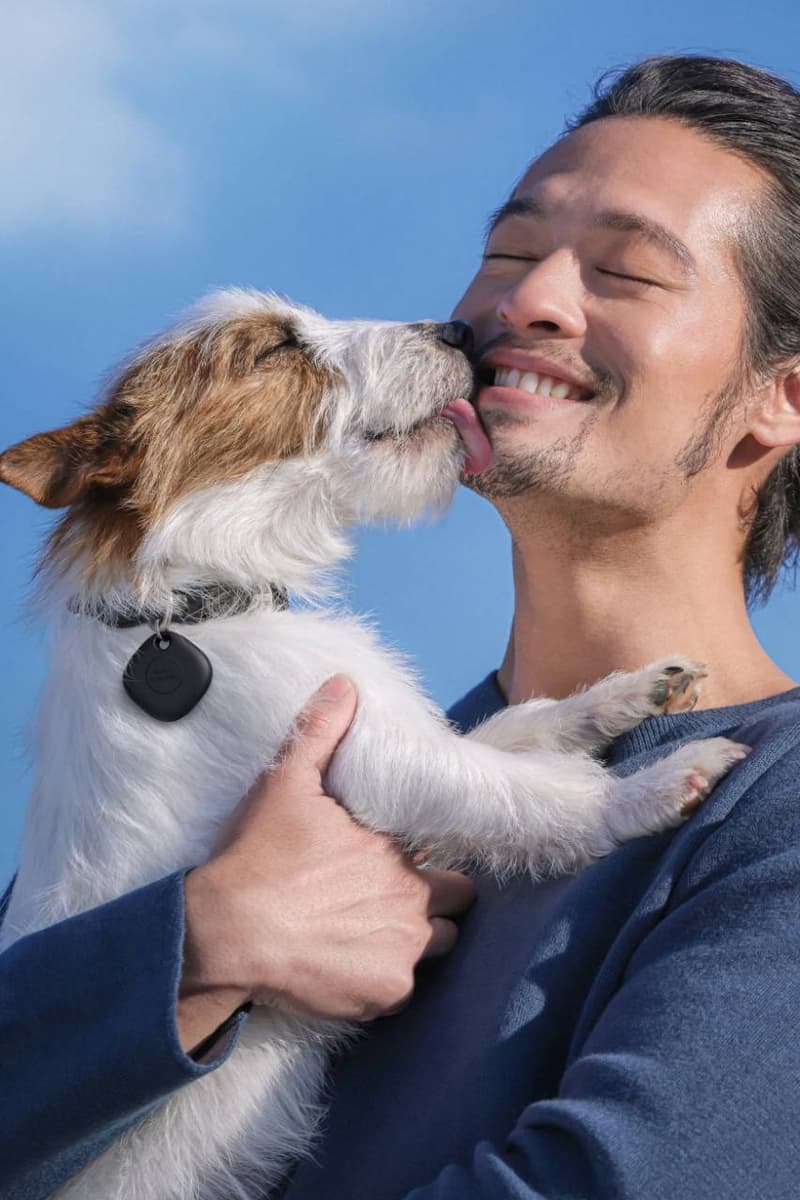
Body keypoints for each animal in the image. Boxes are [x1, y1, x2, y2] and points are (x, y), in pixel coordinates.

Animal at [0, 292, 753, 1200]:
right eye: (275, 349)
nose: (460, 332)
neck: (189, 609)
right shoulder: (382, 759)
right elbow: (525, 791)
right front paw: (657, 785)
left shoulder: (398, 722)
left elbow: (518, 728)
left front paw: (626, 694)